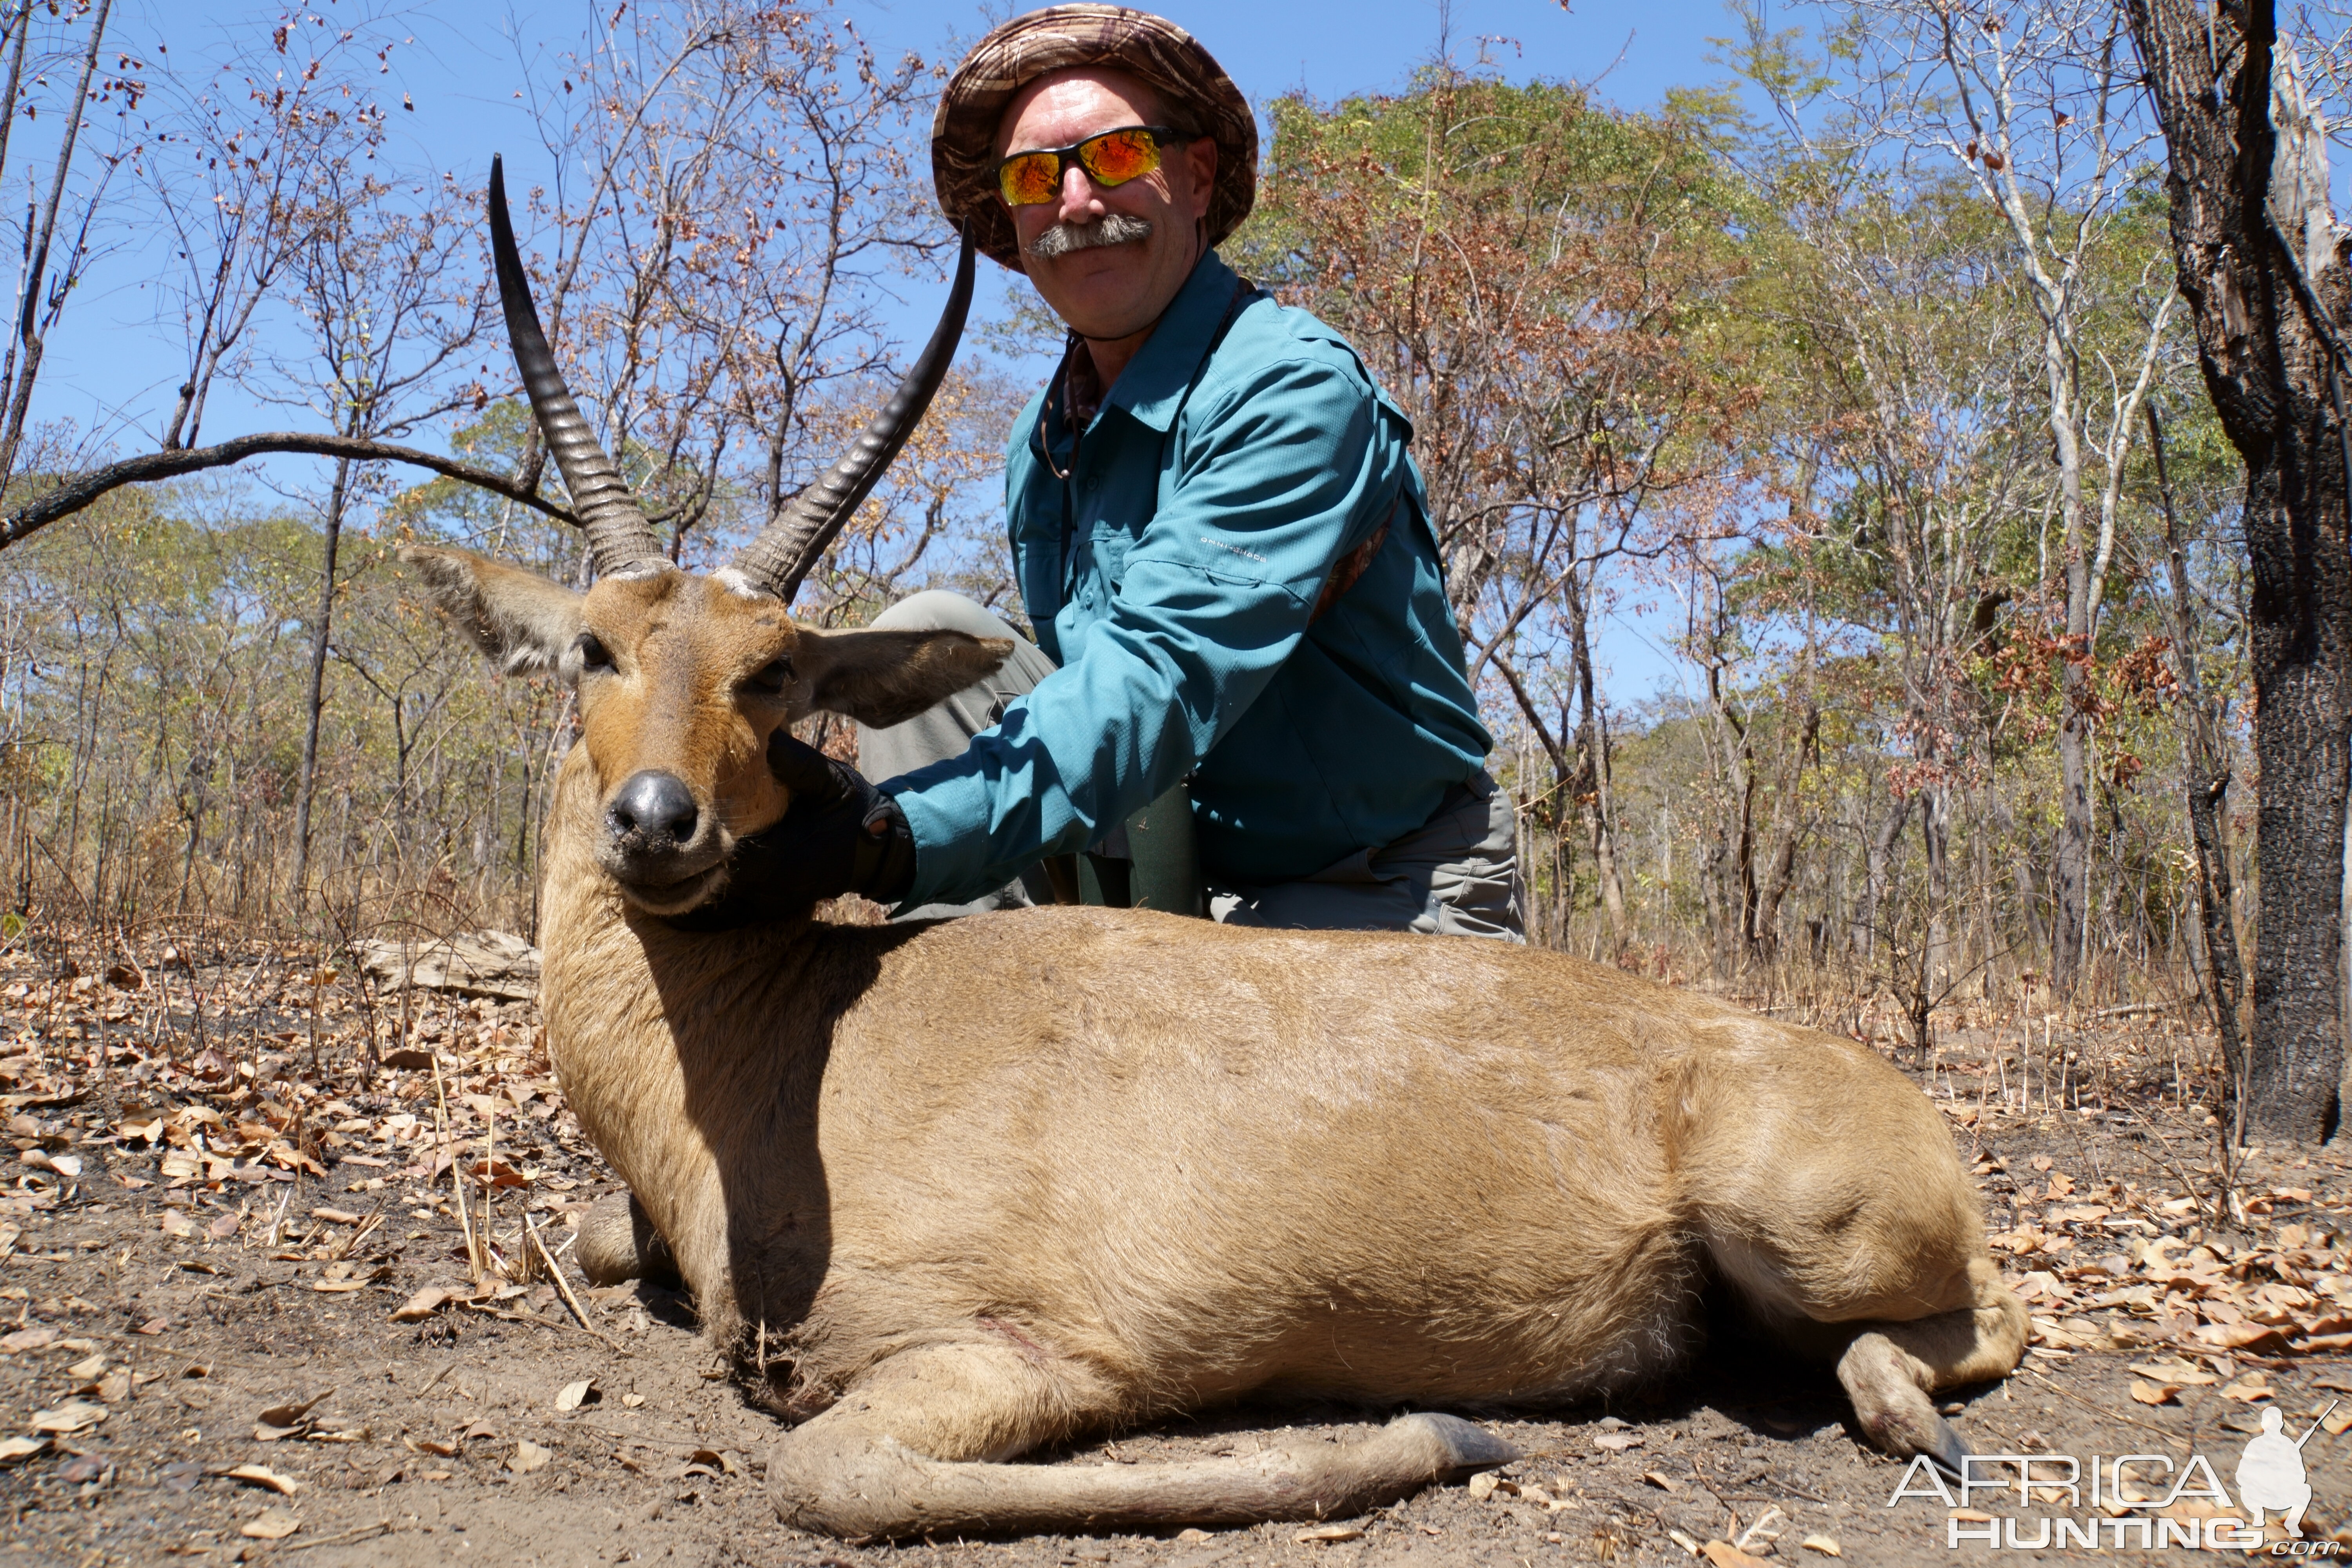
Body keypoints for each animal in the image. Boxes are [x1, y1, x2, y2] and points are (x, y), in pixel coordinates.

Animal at [400, 162, 2023, 1542]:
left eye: (777, 673)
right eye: (596, 648)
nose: (656, 822)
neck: (784, 1038)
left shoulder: (1016, 1353)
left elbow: (833, 1475)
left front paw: (1442, 1433)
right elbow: (595, 1241)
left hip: (1812, 1231)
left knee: (1983, 1315)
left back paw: (1903, 1418)